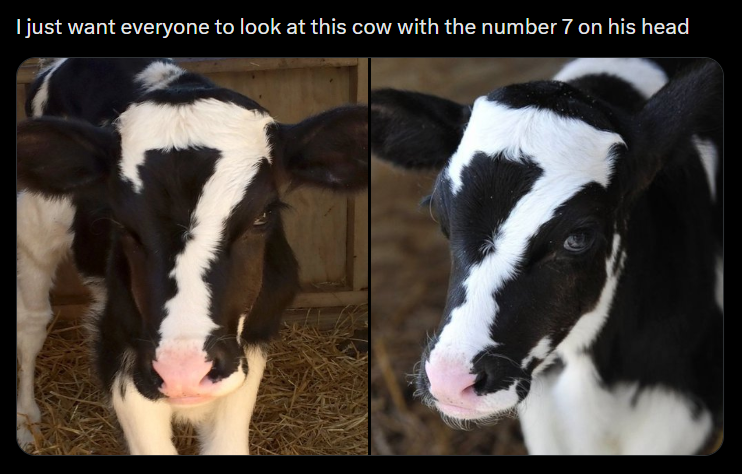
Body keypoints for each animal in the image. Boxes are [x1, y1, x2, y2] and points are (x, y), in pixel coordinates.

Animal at [17, 58, 368, 455]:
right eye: (121, 223)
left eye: (262, 215)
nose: (182, 371)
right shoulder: (120, 348)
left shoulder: (251, 344)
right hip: (35, 222)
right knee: (31, 321)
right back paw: (27, 421)